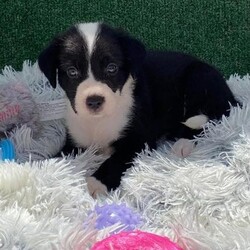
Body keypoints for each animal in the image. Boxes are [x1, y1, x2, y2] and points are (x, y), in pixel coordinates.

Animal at [38, 22, 239, 197]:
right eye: (72, 71)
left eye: (111, 68)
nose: (94, 101)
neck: (99, 121)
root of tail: (229, 94)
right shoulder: (76, 139)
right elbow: (61, 155)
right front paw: (45, 168)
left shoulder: (140, 139)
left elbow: (117, 159)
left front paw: (97, 182)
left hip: (198, 77)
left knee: (210, 118)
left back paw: (183, 143)